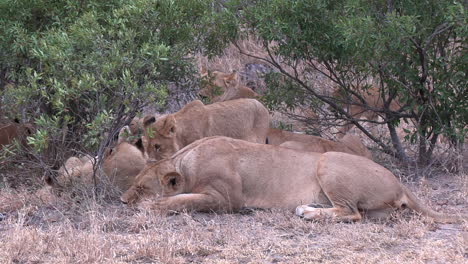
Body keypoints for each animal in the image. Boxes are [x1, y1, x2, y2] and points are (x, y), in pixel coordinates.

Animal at [121, 136, 464, 223]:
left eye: (140, 187)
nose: (122, 201)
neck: (187, 162)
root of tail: (400, 181)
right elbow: (184, 198)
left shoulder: (226, 199)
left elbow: (185, 200)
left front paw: (150, 207)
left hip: (327, 161)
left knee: (351, 213)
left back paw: (307, 212)